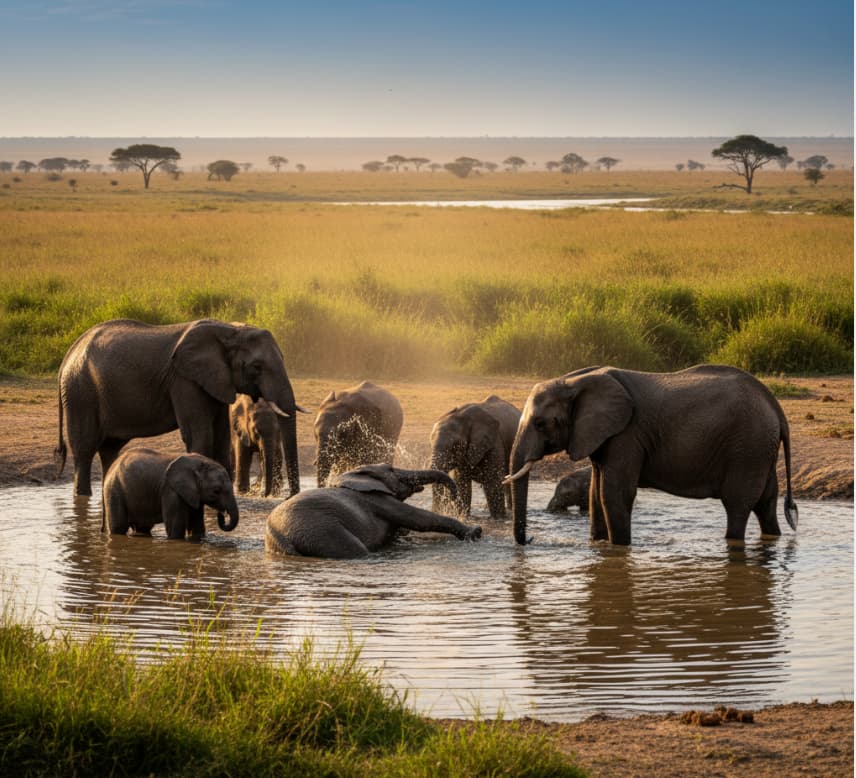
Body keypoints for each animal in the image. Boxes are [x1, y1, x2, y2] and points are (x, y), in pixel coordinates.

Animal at [54, 318, 306, 497]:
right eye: (256, 367)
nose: (288, 496)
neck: (228, 331)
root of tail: (68, 354)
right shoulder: (184, 380)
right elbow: (201, 436)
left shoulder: (215, 380)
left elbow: (221, 438)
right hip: (80, 393)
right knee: (84, 449)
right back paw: (82, 496)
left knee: (109, 449)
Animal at [101, 448, 239, 539]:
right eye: (216, 491)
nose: (221, 515)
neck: (199, 463)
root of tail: (112, 465)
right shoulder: (170, 490)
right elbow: (175, 528)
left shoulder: (193, 493)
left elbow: (197, 526)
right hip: (114, 490)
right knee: (118, 527)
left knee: (143, 528)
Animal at [265, 463, 482, 558]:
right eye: (391, 469)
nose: (454, 496)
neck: (352, 473)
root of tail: (277, 534)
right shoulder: (377, 499)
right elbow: (418, 518)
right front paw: (475, 533)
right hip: (321, 530)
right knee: (356, 550)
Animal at [506, 365, 798, 546]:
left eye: (540, 424)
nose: (530, 540)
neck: (573, 381)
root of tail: (776, 407)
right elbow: (596, 493)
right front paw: (598, 546)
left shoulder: (627, 434)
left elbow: (613, 493)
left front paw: (619, 549)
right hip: (760, 449)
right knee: (766, 504)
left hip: (748, 447)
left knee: (737, 505)